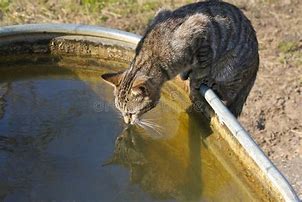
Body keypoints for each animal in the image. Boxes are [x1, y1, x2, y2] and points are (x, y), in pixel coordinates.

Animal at [102, 0, 258, 124]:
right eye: (121, 111)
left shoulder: (201, 27)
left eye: (131, 113)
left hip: (230, 67)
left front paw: (196, 80)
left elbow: (202, 66)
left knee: (230, 92)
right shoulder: (162, 13)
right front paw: (185, 73)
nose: (127, 121)